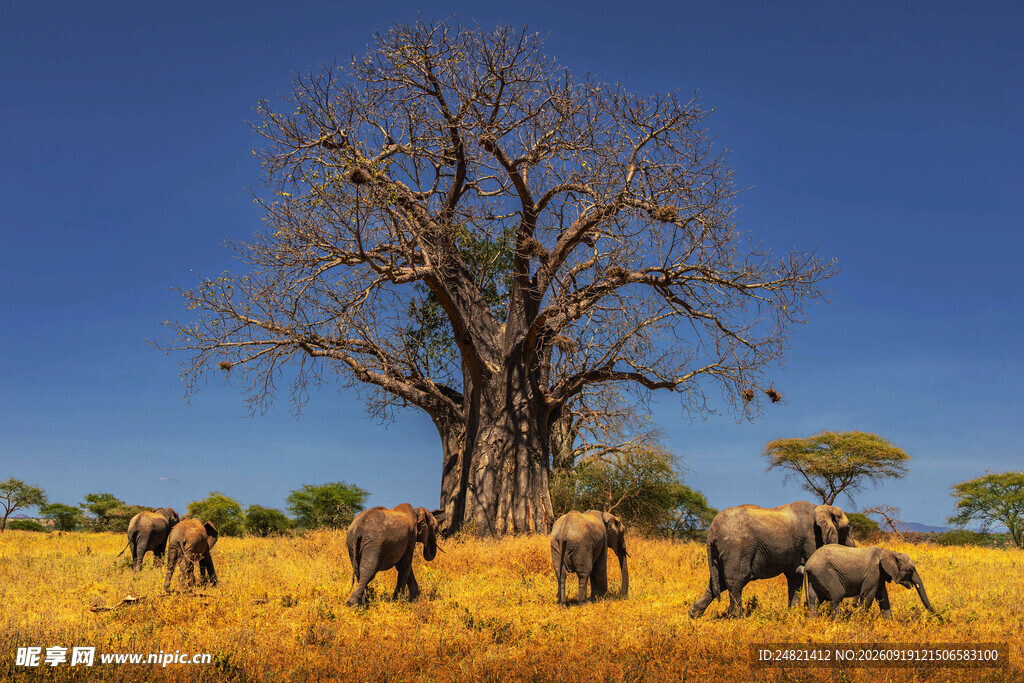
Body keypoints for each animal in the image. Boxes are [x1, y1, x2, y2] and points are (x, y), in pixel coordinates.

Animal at [689, 500, 855, 618]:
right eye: (847, 528)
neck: (822, 507)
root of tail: (712, 531)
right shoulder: (811, 538)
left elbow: (795, 577)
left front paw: (793, 615)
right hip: (737, 548)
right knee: (736, 580)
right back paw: (737, 618)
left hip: (721, 551)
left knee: (718, 582)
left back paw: (693, 614)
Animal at [797, 545, 936, 619]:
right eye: (911, 570)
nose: (939, 617)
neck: (889, 552)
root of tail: (808, 565)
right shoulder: (873, 572)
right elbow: (868, 596)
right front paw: (858, 624)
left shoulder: (879, 576)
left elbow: (883, 597)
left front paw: (890, 624)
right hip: (826, 574)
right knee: (837, 596)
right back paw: (836, 622)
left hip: (816, 576)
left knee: (814, 600)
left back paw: (813, 621)